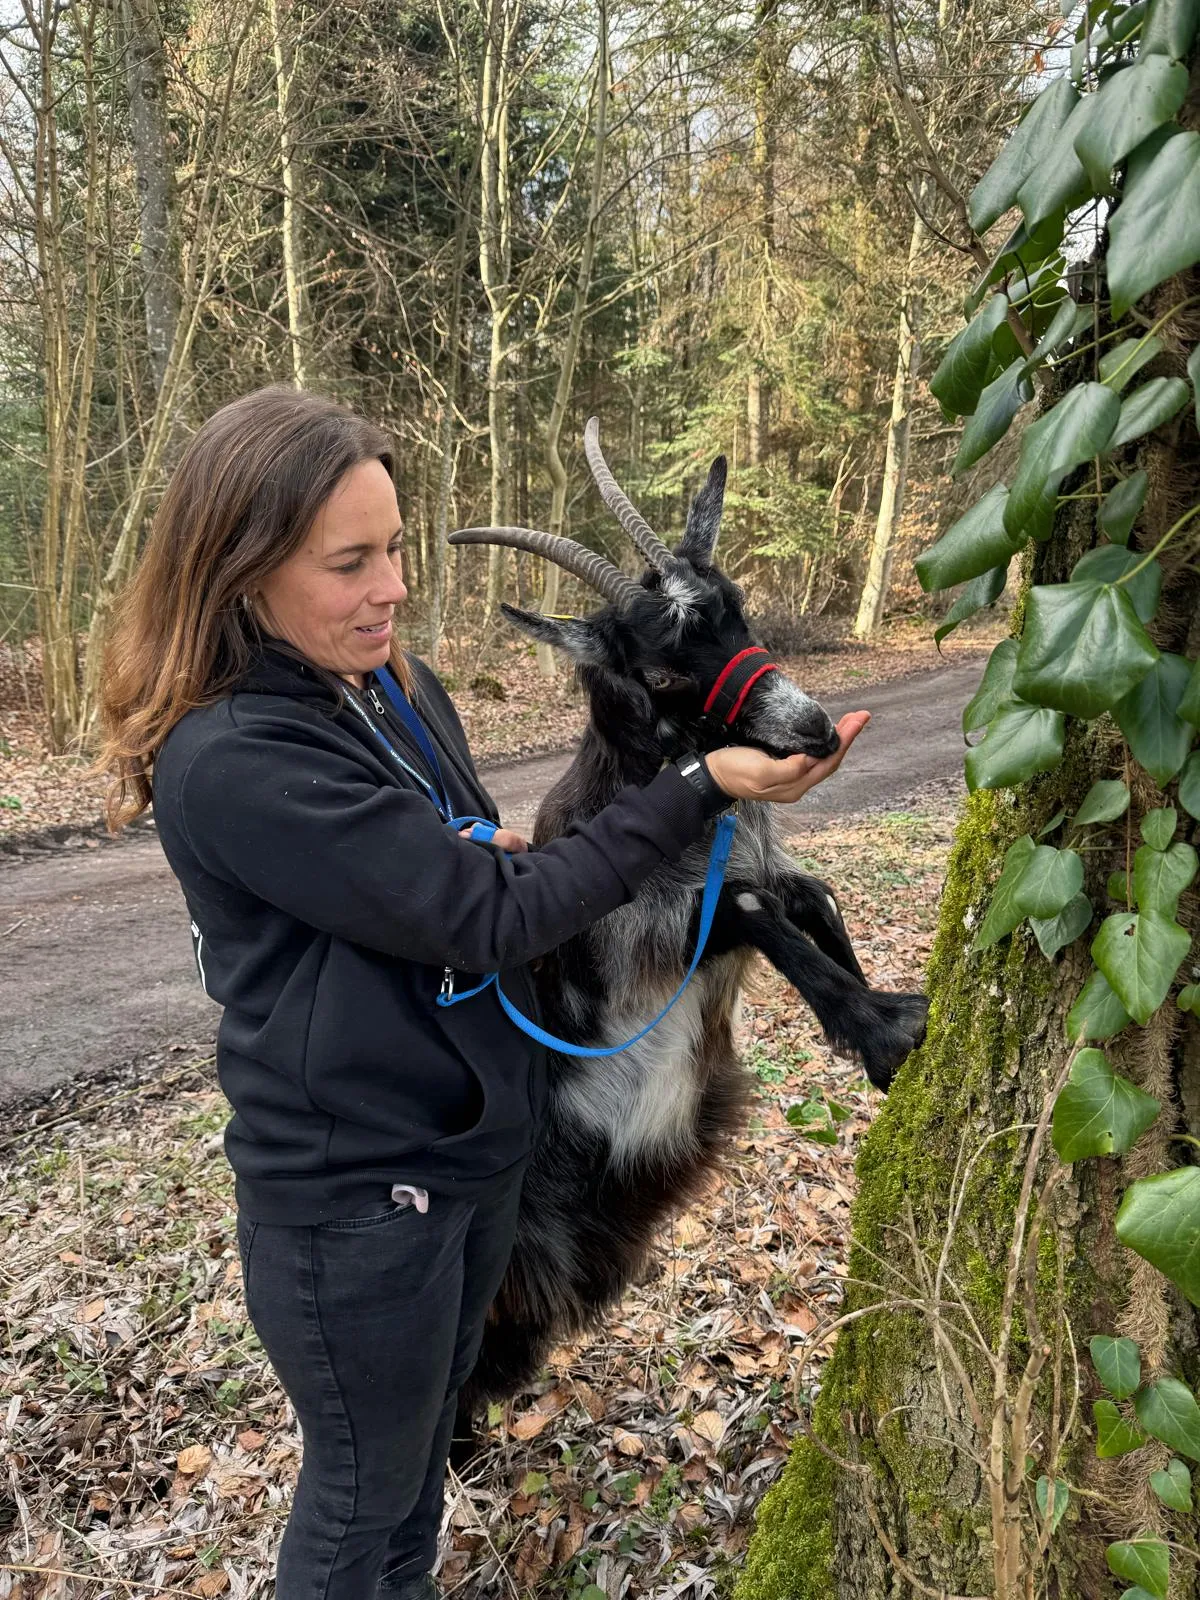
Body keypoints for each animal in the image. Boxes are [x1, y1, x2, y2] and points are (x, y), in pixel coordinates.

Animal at [451, 422, 928, 1414]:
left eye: (736, 607)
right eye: (666, 668)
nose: (814, 727)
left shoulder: (754, 874)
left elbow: (809, 893)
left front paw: (871, 1020)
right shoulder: (634, 945)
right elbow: (749, 908)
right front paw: (888, 1030)